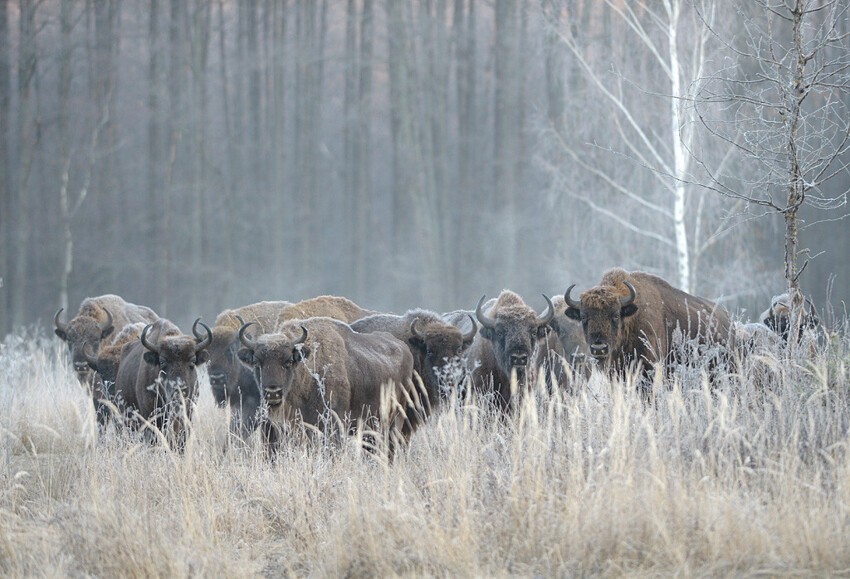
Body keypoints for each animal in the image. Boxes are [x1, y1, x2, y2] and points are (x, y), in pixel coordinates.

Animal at [237, 314, 416, 460]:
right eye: (257, 363)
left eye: (288, 361)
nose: (273, 392)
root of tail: (405, 349)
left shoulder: (333, 425)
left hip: (394, 420)